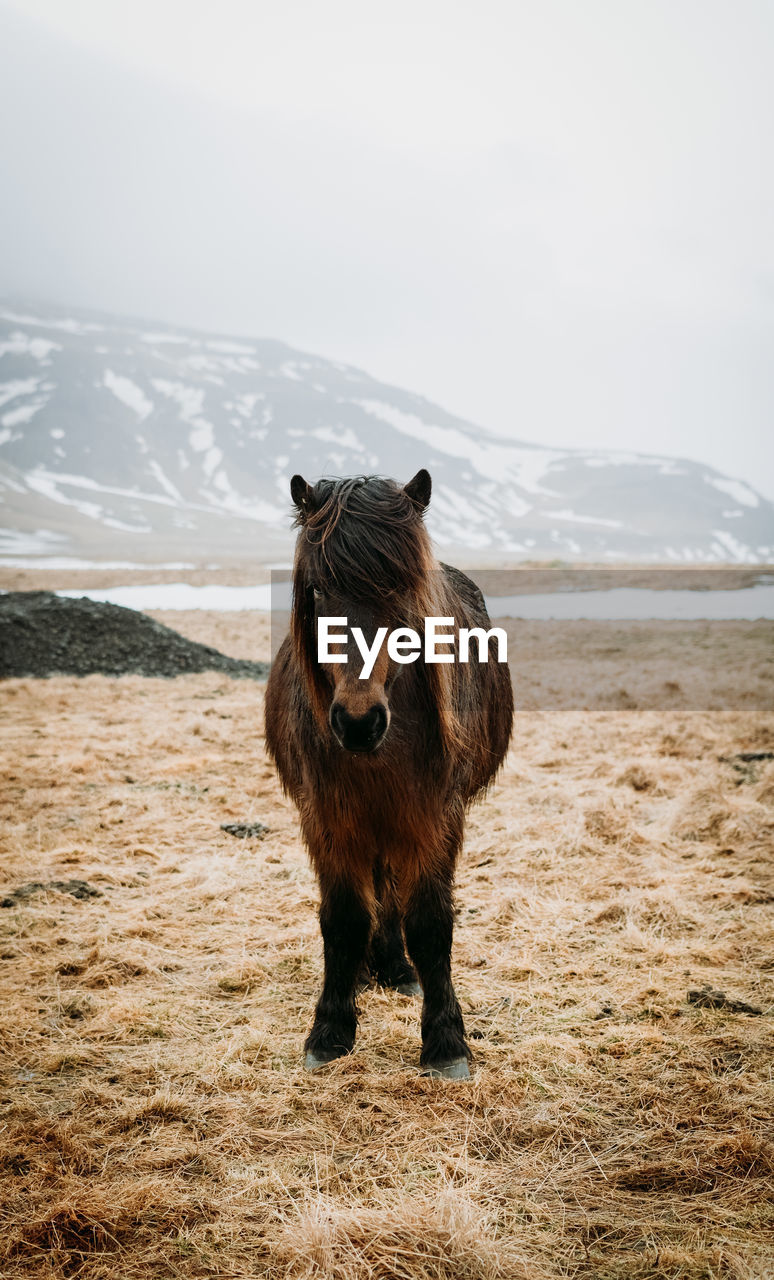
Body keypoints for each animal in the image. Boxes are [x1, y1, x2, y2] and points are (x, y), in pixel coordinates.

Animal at [266, 465, 514, 1075]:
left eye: (401, 589)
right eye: (317, 590)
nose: (358, 723)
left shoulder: (434, 818)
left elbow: (428, 922)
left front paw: (445, 1042)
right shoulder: (328, 817)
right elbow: (343, 918)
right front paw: (330, 1029)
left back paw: (396, 970)